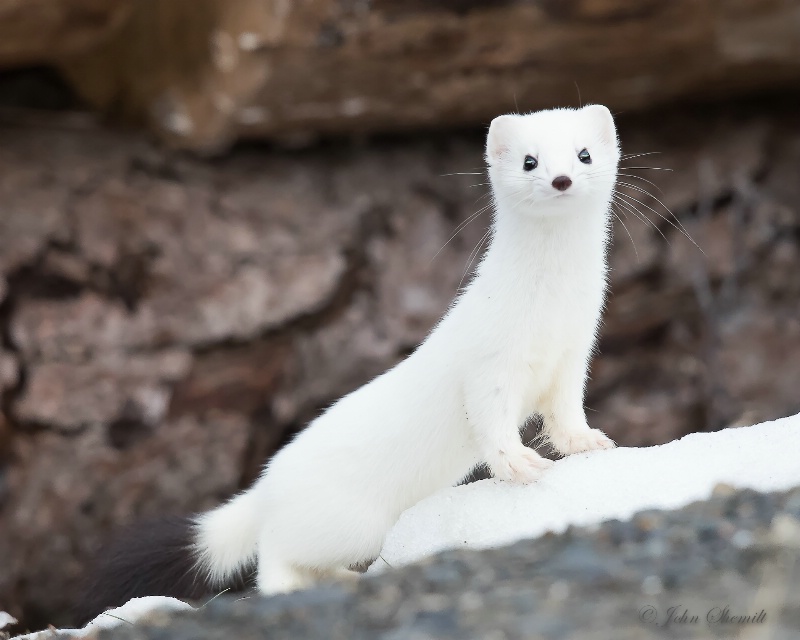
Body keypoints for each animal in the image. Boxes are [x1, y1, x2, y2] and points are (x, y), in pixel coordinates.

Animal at [194, 104, 620, 592]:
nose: (561, 179)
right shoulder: (490, 359)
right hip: (350, 524)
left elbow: (566, 410)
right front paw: (519, 464)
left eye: (584, 154)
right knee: (274, 552)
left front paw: (587, 441)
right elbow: (491, 418)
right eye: (530, 161)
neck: (551, 308)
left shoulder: (575, 349)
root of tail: (268, 483)